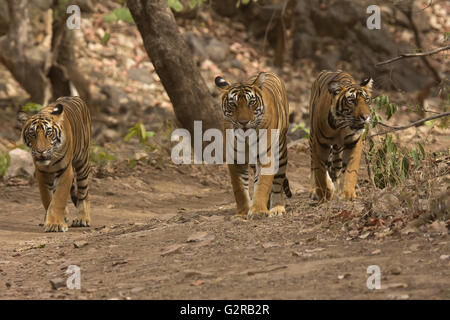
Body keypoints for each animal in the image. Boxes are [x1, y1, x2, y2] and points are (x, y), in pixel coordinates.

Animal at [18, 96, 91, 231]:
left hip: (82, 162)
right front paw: (54, 220)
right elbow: (48, 198)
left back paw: (82, 219)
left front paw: (55, 224)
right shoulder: (41, 173)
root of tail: (75, 97)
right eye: (32, 134)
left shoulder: (66, 171)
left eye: (48, 133)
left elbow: (59, 198)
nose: (41, 151)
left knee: (84, 192)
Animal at [214, 71, 292, 219]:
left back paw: (277, 208)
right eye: (233, 104)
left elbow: (263, 184)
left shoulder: (267, 157)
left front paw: (258, 211)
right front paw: (243, 213)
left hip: (281, 151)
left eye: (251, 102)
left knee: (277, 182)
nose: (244, 122)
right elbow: (239, 189)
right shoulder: (235, 160)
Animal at [310, 70, 372, 202]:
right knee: (313, 165)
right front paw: (324, 194)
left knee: (336, 168)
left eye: (367, 100)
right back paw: (315, 191)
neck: (341, 127)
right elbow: (320, 171)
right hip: (312, 137)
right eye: (351, 101)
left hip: (337, 149)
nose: (366, 117)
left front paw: (347, 194)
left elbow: (351, 170)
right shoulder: (320, 143)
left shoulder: (354, 143)